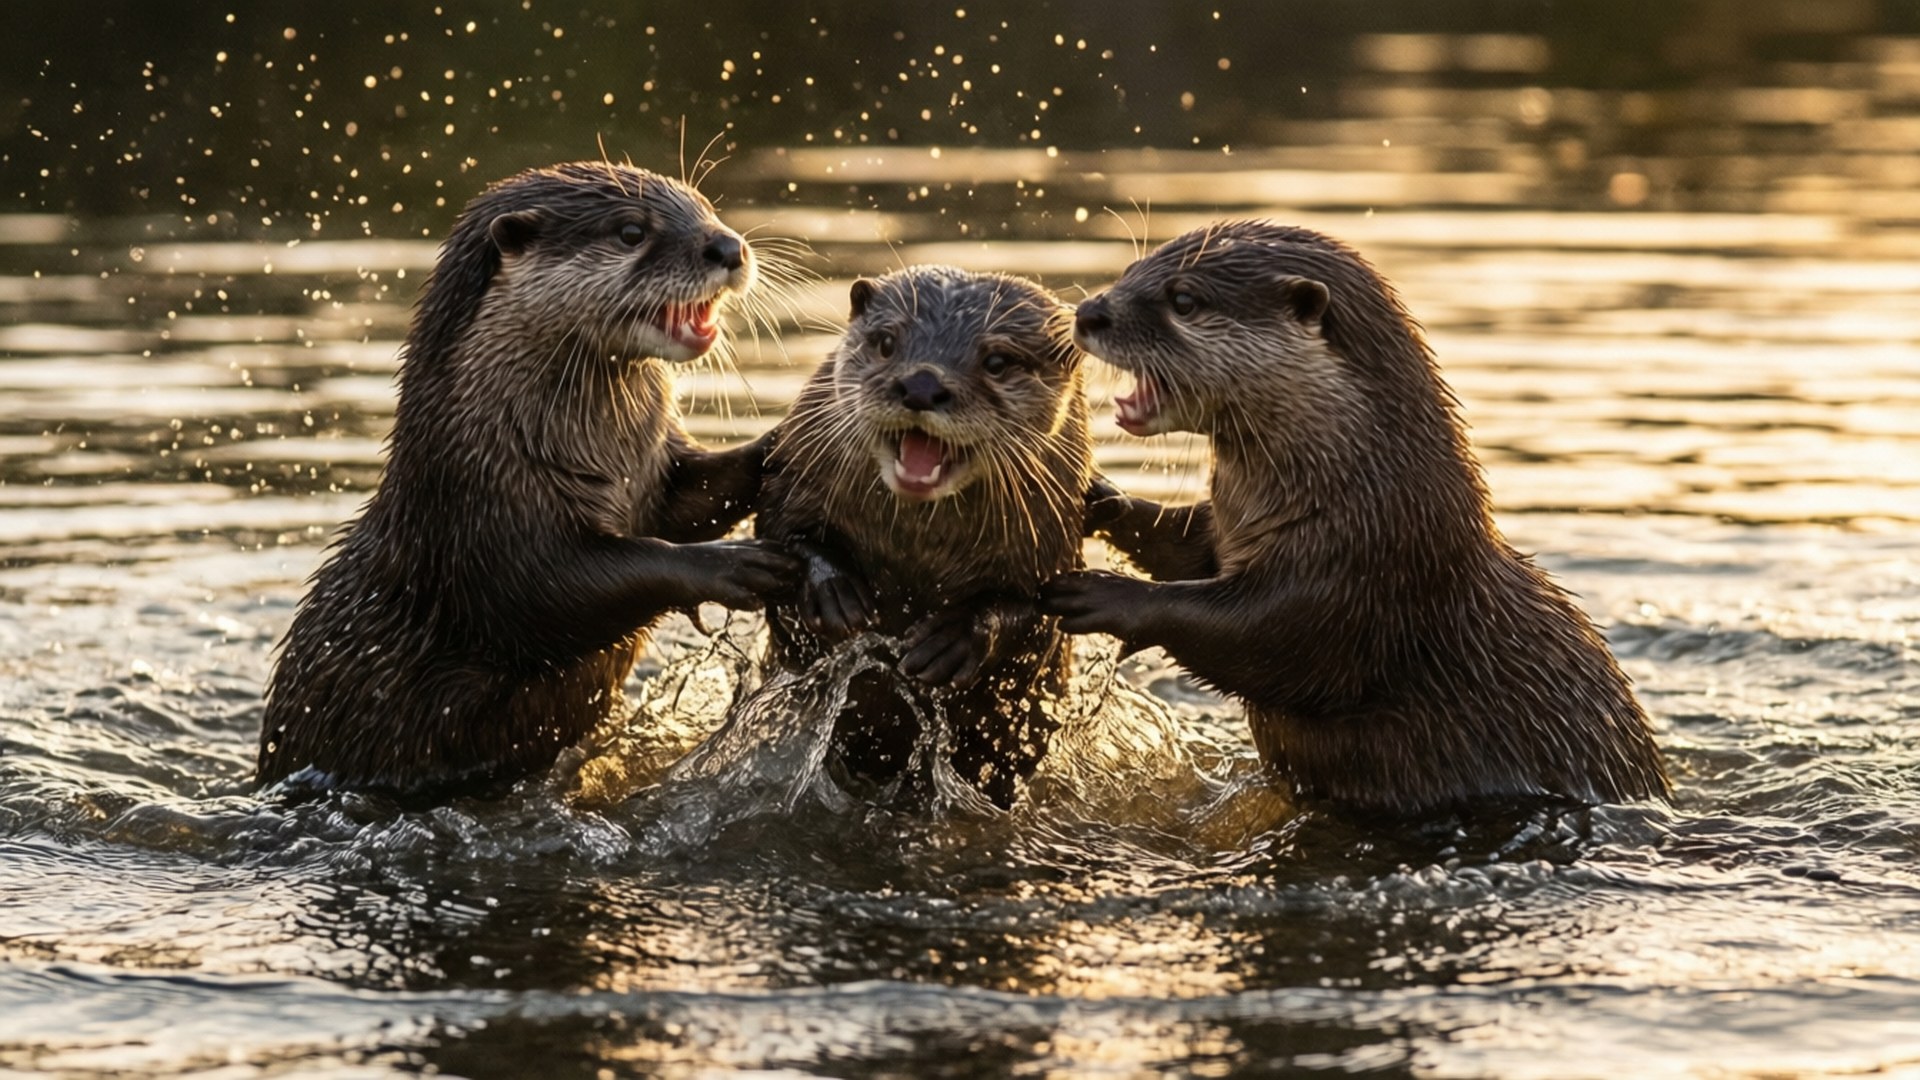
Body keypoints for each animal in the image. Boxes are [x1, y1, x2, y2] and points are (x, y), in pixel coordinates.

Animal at [257, 162, 798, 797]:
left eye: (706, 208)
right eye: (631, 231)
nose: (728, 247)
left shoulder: (654, 470)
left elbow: (693, 498)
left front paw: (785, 439)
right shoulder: (479, 519)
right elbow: (557, 593)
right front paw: (732, 565)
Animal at [755, 266, 1092, 808]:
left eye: (997, 361)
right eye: (887, 342)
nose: (921, 383)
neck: (919, 555)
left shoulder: (1055, 542)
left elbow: (1035, 608)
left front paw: (953, 638)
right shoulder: (792, 477)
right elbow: (782, 533)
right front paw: (834, 591)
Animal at [1042, 221, 1670, 814]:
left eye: (1184, 299)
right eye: (1131, 270)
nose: (1088, 312)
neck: (1366, 493)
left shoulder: (1363, 577)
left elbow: (1261, 642)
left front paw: (1108, 594)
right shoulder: (1233, 530)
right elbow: (1185, 545)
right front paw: (1099, 499)